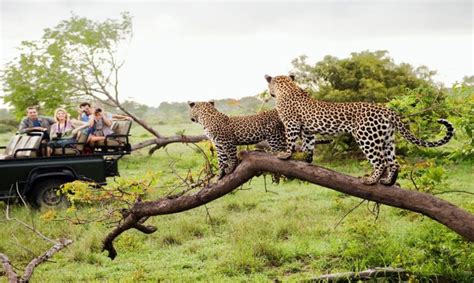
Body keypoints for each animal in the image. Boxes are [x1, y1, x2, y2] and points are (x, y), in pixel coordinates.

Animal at [187, 102, 328, 180]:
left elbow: (231, 157)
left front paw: (231, 168)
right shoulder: (219, 145)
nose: (191, 118)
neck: (205, 118)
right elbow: (221, 159)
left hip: (274, 135)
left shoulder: (227, 142)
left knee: (282, 150)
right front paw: (220, 174)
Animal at [264, 74, 454, 187]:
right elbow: (308, 144)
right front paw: (306, 158)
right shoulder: (307, 129)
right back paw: (387, 182)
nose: (270, 93)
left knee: (380, 161)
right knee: (393, 162)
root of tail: (387, 110)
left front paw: (285, 154)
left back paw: (370, 180)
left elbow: (290, 140)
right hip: (387, 138)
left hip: (366, 137)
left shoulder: (291, 123)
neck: (288, 88)